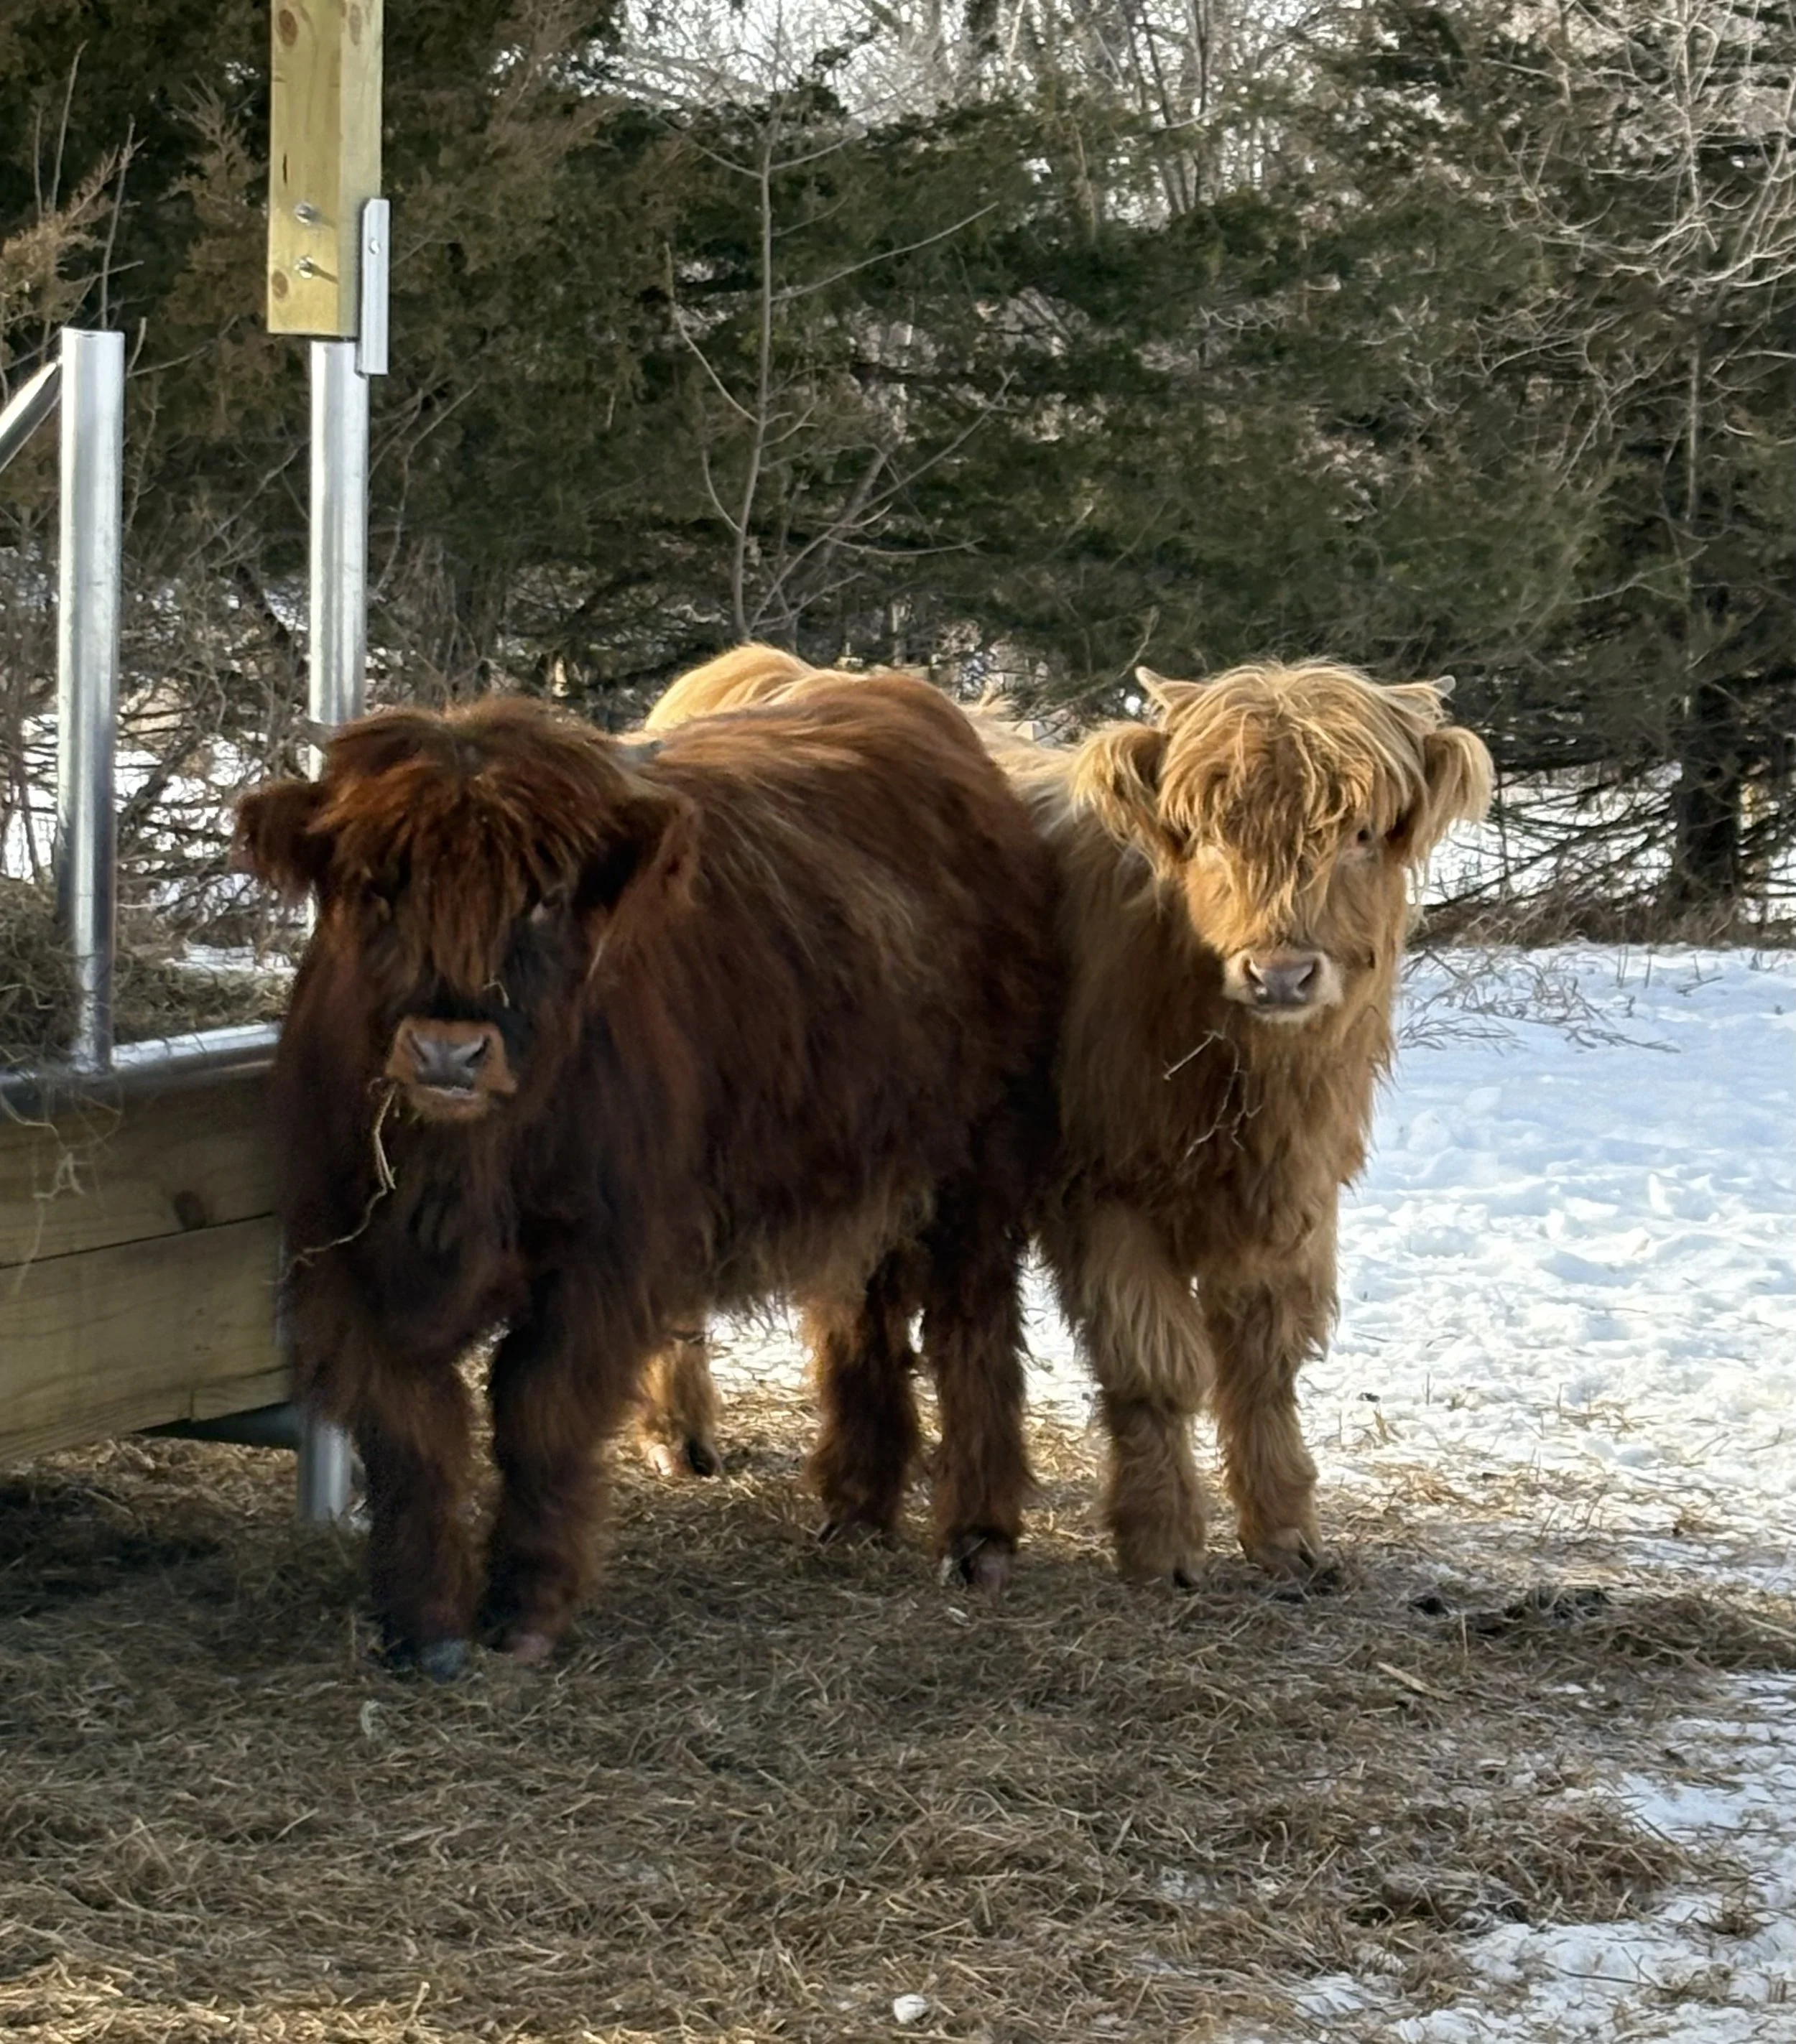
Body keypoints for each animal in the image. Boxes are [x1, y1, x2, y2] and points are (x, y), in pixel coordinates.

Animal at [235, 679, 1059, 1677]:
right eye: (375, 885)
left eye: (545, 897)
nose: (448, 1051)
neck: (462, 1175)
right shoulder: (350, 1259)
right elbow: (412, 1435)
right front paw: (425, 1624)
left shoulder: (604, 1260)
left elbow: (538, 1412)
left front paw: (526, 1612)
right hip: (855, 1169)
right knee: (858, 1314)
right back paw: (857, 1504)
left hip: (979, 1157)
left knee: (973, 1325)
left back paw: (980, 1535)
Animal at [636, 647, 1493, 1585]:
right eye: (1205, 835)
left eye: (1362, 834)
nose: (1279, 973)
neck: (1239, 1085)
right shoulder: (1102, 1195)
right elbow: (1153, 1367)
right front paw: (1161, 1543)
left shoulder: (1294, 1198)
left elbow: (1265, 1365)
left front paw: (1284, 1534)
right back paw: (689, 1436)